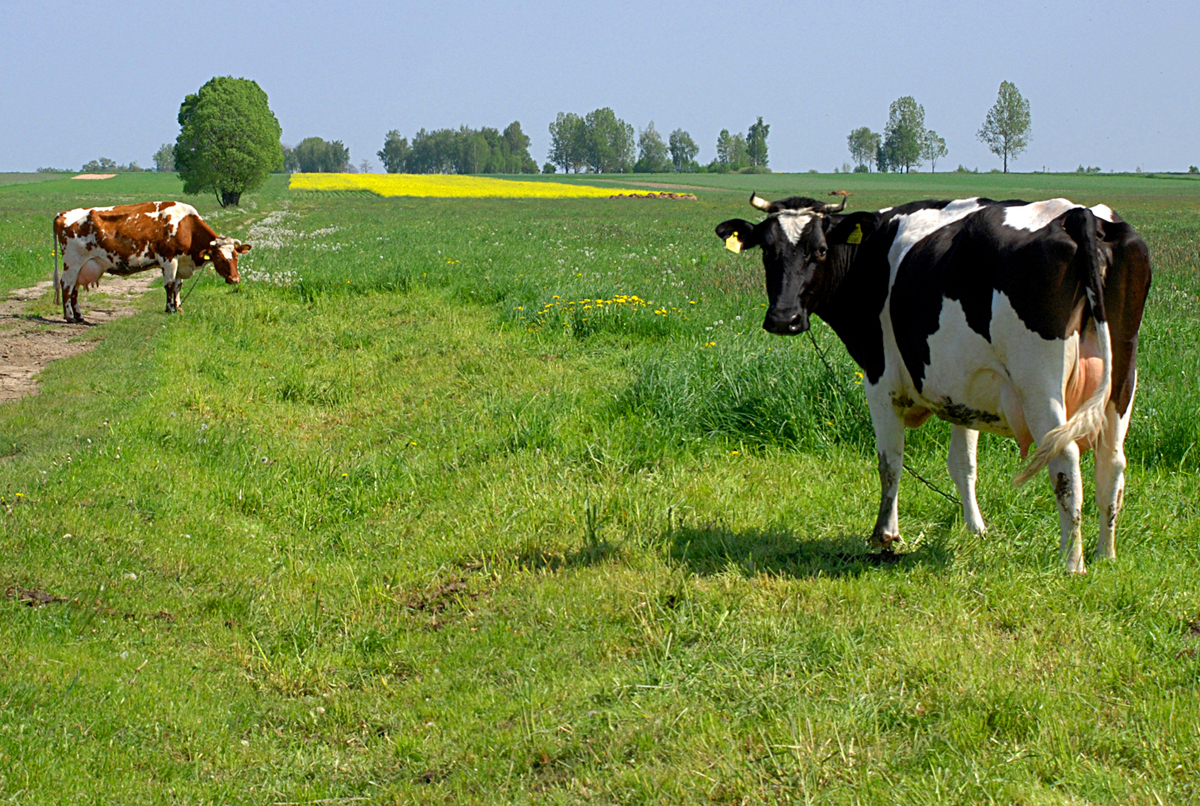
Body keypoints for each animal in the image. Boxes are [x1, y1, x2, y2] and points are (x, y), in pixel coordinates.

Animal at [53, 201, 249, 323]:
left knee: (74, 289)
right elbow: (170, 285)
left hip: (81, 266)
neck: (186, 226)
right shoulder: (169, 259)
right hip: (73, 262)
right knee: (66, 286)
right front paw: (170, 309)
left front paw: (178, 308)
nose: (235, 279)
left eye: (236, 256)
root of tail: (63, 214)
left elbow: (178, 286)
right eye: (219, 257)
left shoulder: (180, 262)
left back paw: (79, 316)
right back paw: (69, 317)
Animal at [716, 193, 1151, 573]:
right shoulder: (964, 388)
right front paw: (976, 529)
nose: (783, 319)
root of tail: (1079, 214)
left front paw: (885, 534)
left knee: (1065, 462)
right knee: (1112, 461)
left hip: (1039, 385)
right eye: (767, 252)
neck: (870, 256)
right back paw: (1105, 554)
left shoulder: (880, 380)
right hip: (1122, 376)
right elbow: (963, 463)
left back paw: (1072, 562)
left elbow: (890, 461)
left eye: (820, 251)